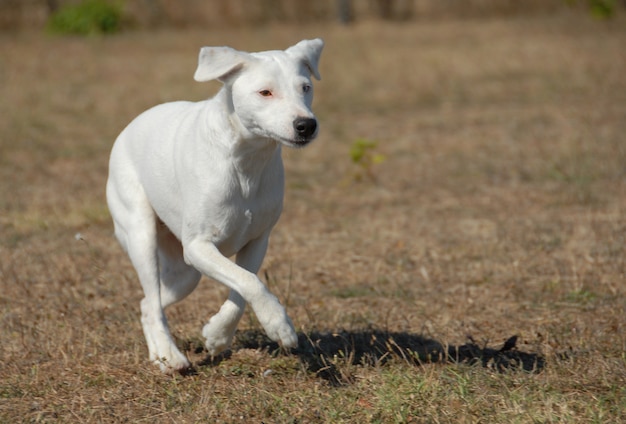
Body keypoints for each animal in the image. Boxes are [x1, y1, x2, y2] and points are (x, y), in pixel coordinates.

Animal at [105, 39, 324, 372]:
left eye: (305, 87)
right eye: (265, 92)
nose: (306, 125)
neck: (245, 161)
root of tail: (130, 126)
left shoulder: (257, 242)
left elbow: (242, 287)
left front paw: (218, 335)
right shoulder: (198, 246)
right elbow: (250, 283)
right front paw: (279, 325)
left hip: (185, 274)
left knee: (147, 304)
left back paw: (160, 355)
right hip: (141, 235)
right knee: (152, 300)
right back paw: (171, 355)